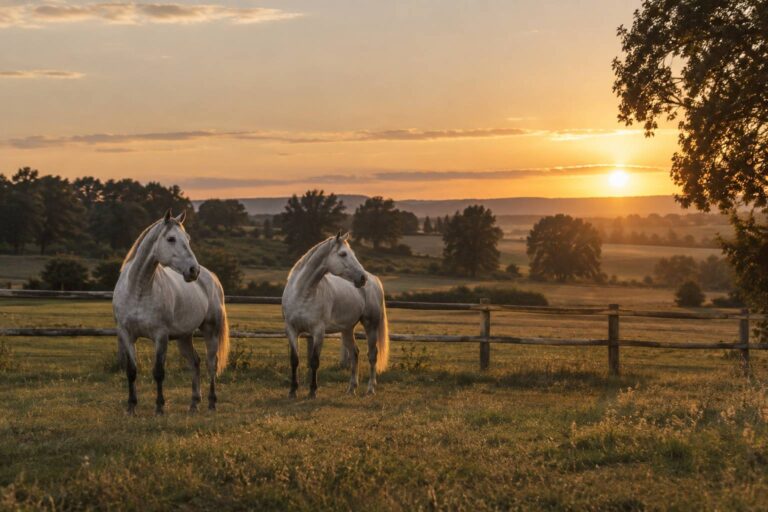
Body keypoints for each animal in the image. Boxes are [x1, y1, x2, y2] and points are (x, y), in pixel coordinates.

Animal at [113, 209, 230, 415]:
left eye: (188, 238)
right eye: (171, 238)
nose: (193, 270)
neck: (137, 290)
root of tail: (212, 277)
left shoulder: (161, 336)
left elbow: (159, 372)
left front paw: (159, 407)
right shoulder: (126, 334)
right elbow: (131, 371)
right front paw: (131, 407)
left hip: (211, 331)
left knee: (211, 363)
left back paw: (211, 403)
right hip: (184, 337)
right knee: (195, 362)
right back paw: (194, 403)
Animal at [282, 232, 390, 398]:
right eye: (343, 254)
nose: (362, 278)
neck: (302, 294)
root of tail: (374, 280)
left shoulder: (318, 332)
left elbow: (314, 361)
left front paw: (313, 391)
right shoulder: (292, 330)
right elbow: (294, 360)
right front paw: (293, 391)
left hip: (370, 325)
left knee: (372, 355)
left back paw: (370, 389)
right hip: (347, 329)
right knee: (354, 354)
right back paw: (351, 388)